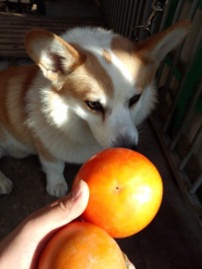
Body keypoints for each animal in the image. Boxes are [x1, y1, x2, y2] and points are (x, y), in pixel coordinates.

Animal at [0, 19, 189, 197]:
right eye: (93, 104)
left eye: (135, 98)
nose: (128, 147)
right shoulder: (47, 148)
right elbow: (55, 167)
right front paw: (56, 186)